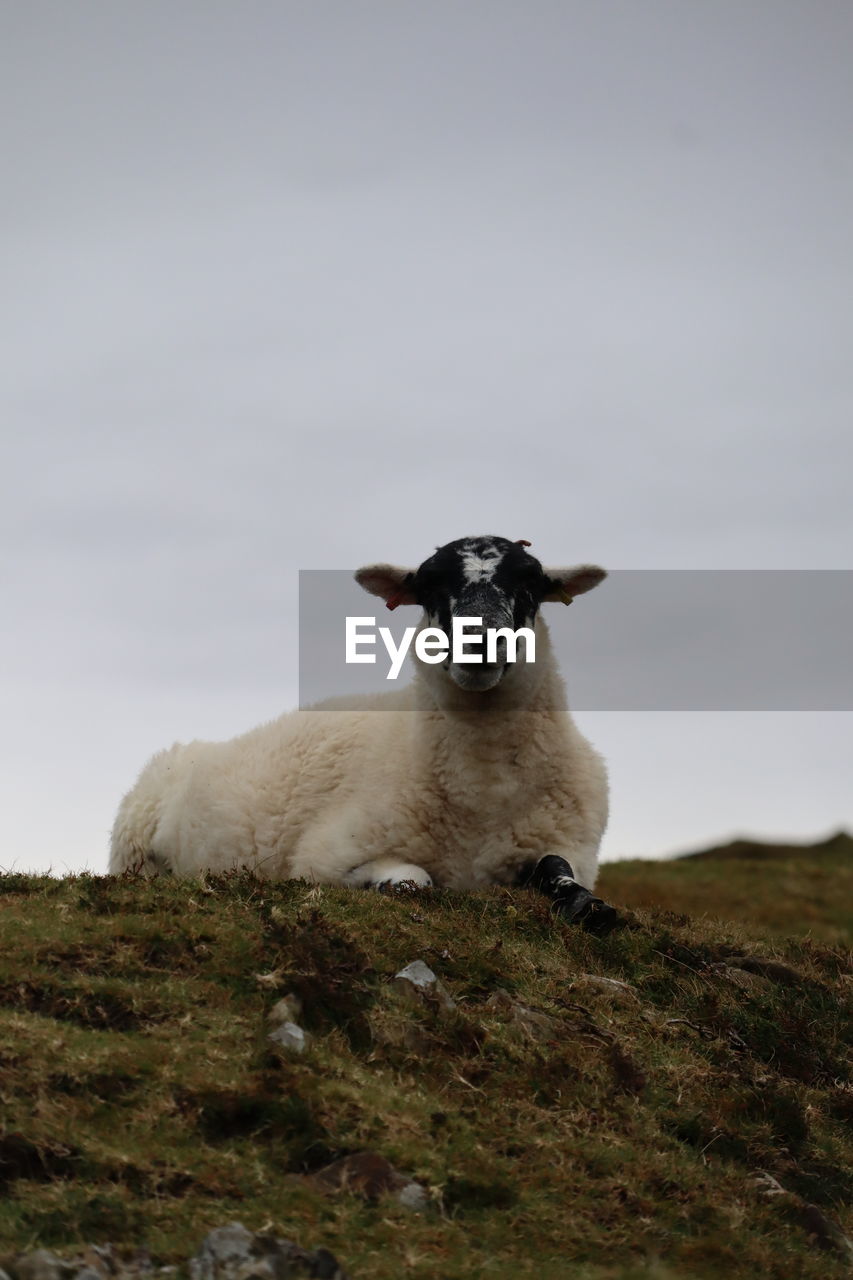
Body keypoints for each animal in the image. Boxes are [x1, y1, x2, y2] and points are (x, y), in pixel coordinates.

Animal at [111, 535, 617, 936]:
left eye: (530, 585)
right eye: (430, 587)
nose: (479, 642)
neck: (482, 796)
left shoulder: (568, 844)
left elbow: (559, 870)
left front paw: (587, 905)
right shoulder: (325, 857)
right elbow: (414, 880)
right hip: (133, 858)